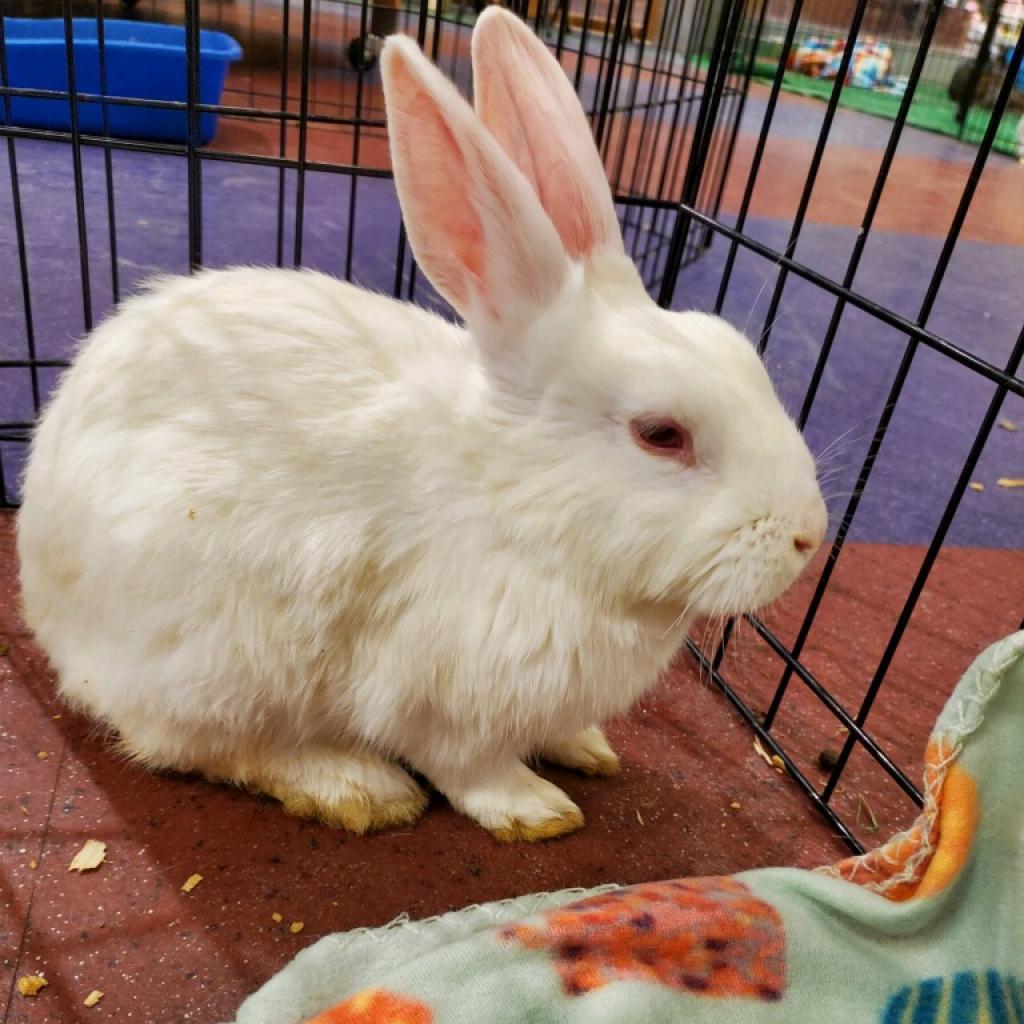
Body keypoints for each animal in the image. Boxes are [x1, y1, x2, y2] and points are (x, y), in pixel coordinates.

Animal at [16, 8, 827, 842]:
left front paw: (587, 746)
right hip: (213, 656)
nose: (811, 535)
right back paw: (356, 786)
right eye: (661, 434)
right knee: (193, 743)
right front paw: (537, 811)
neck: (516, 508)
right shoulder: (442, 696)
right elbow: (470, 768)